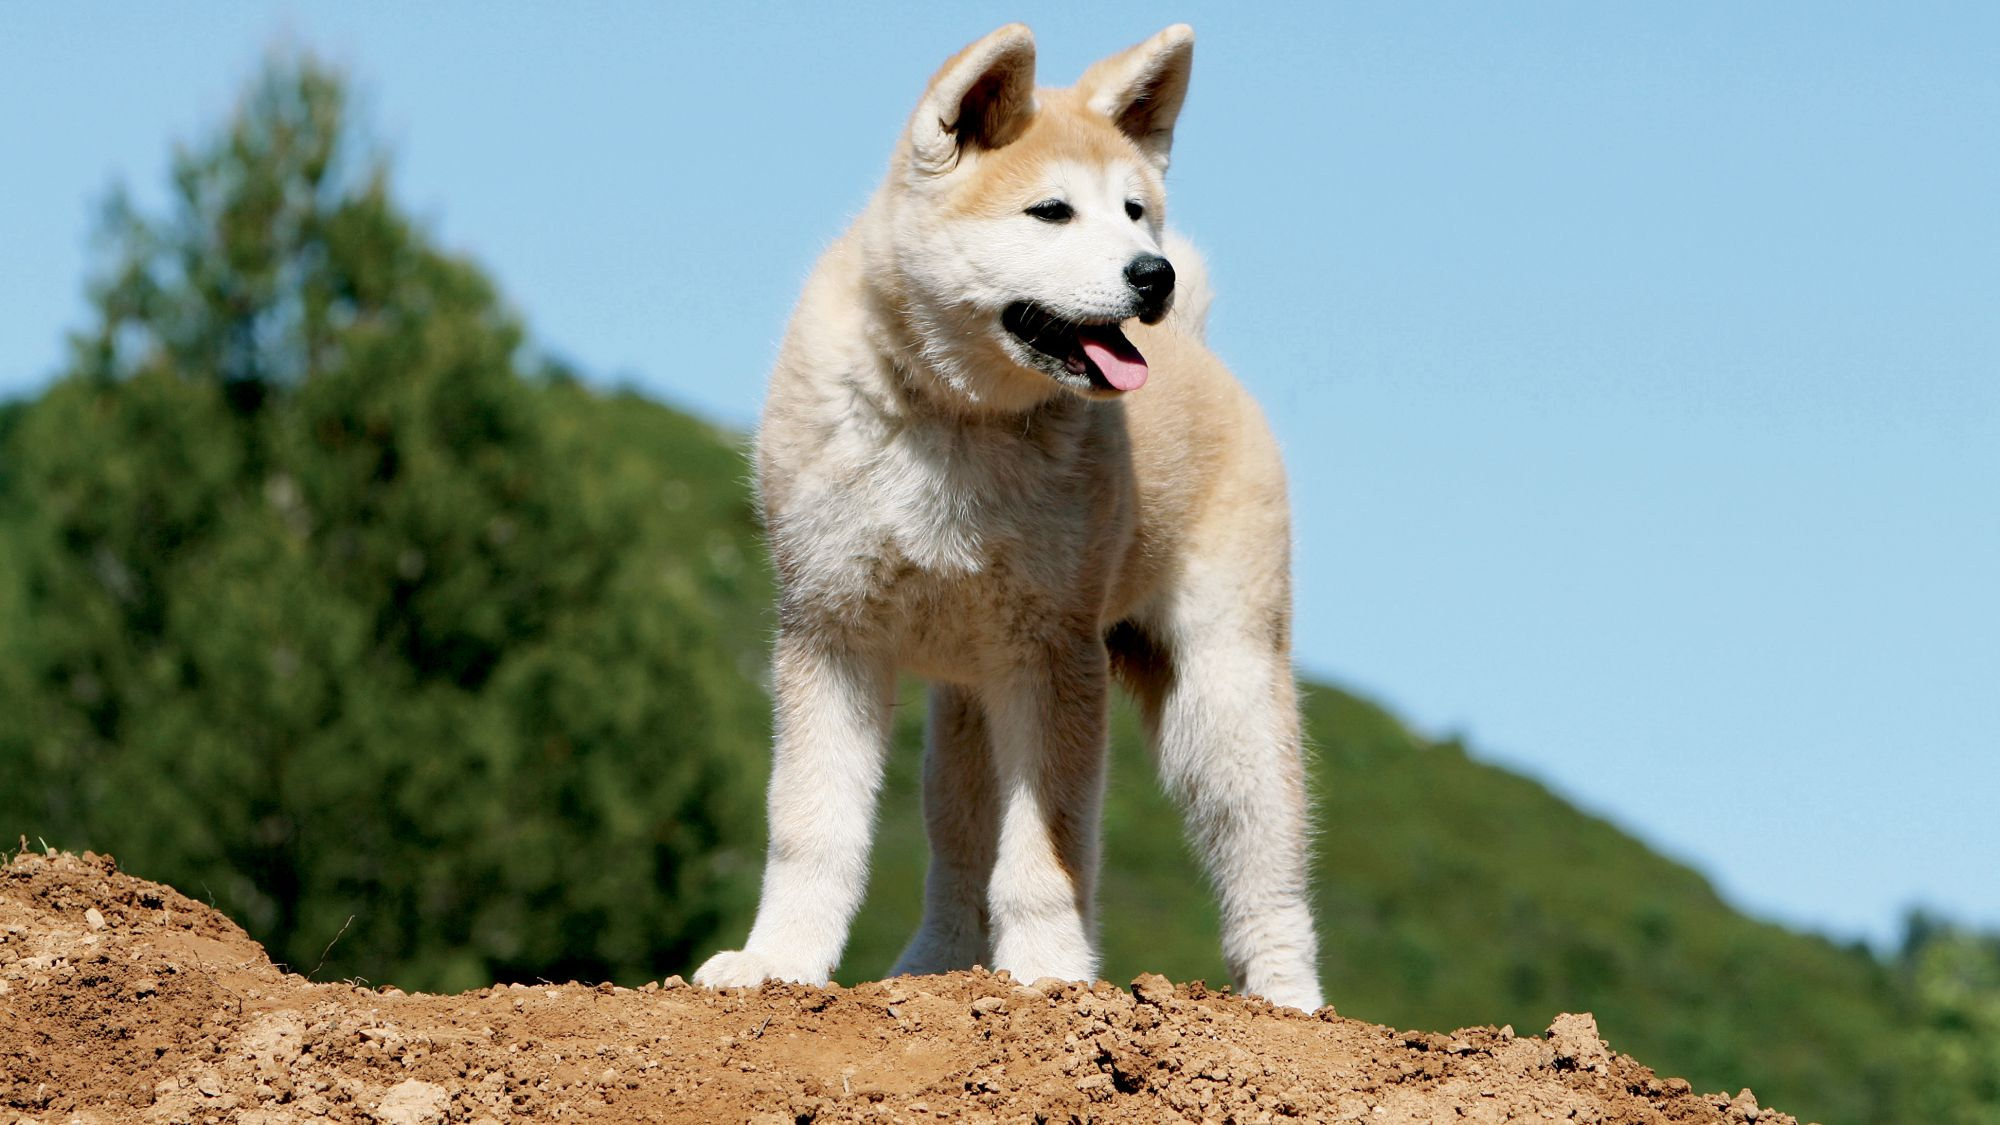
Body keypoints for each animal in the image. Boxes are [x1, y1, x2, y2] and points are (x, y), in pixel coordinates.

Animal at [692, 21, 1328, 1000]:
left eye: (1135, 211)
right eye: (1051, 212)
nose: (1155, 275)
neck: (956, 418)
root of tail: (1202, 352)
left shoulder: (1054, 653)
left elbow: (1048, 852)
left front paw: (1051, 973)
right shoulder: (830, 634)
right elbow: (812, 828)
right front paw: (778, 960)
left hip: (1222, 694)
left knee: (1267, 864)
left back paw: (1290, 1002)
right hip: (966, 709)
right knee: (958, 859)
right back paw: (934, 968)